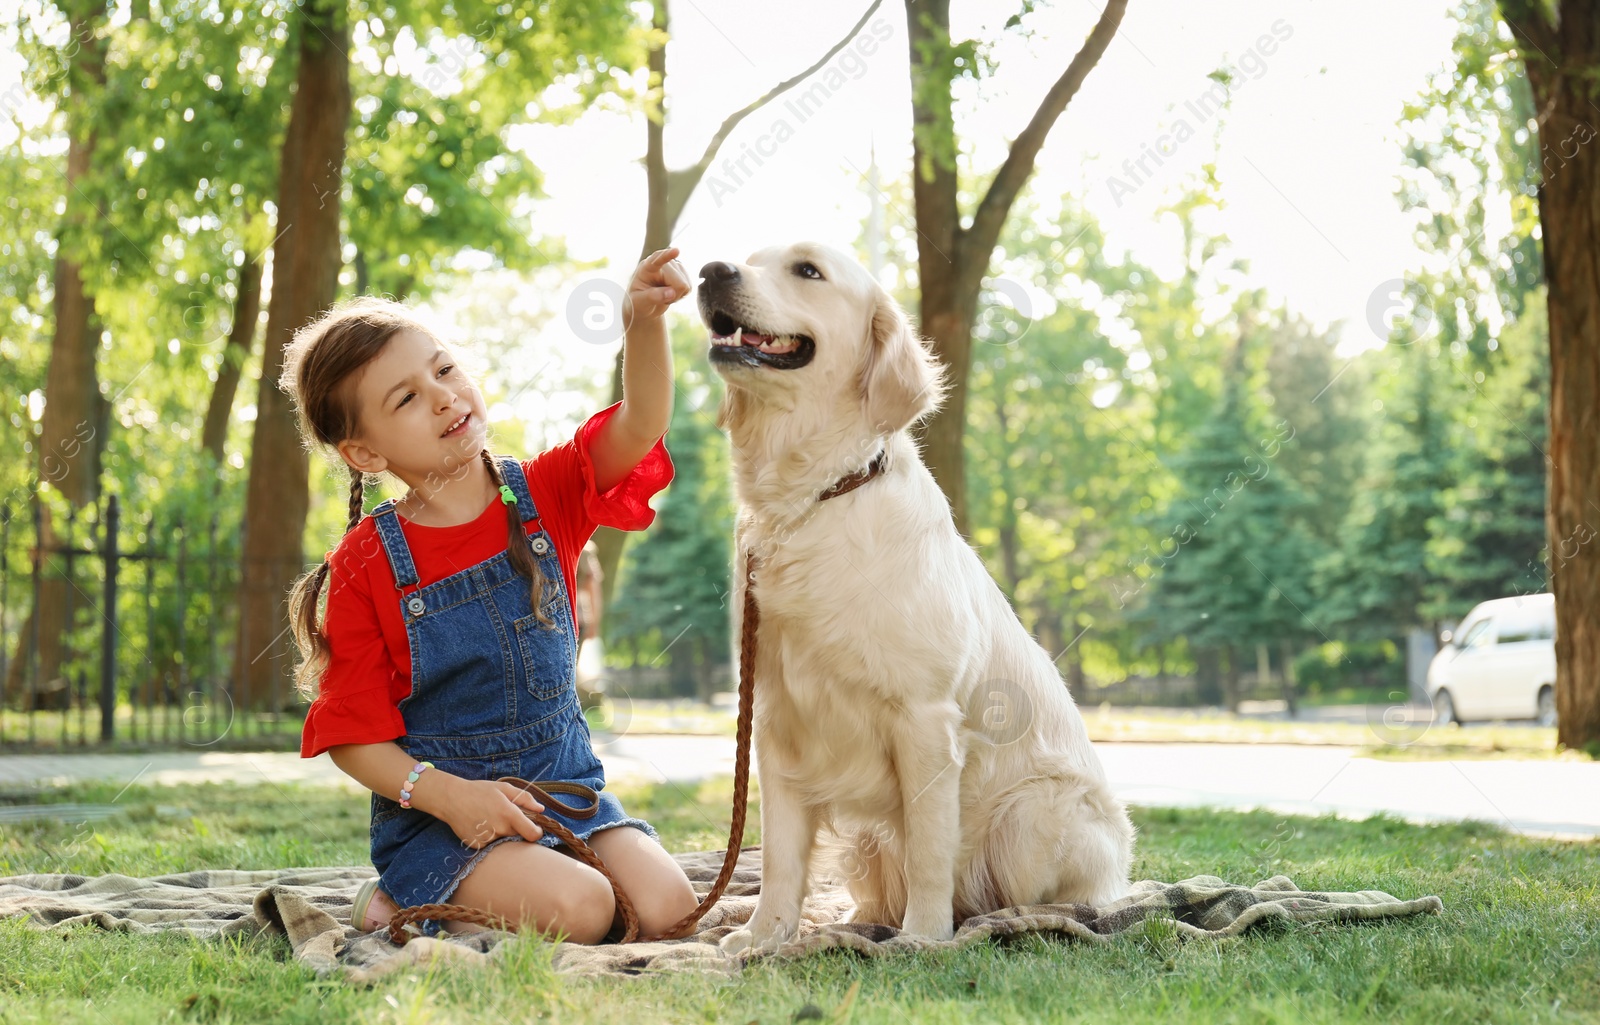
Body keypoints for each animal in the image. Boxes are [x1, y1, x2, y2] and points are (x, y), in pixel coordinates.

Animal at [694, 241, 1132, 953]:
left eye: (808, 270)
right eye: (750, 257)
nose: (710, 272)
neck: (813, 498)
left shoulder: (925, 718)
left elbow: (929, 847)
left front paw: (923, 938)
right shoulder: (775, 717)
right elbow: (781, 852)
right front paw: (764, 936)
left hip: (1032, 816)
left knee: (1046, 896)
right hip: (869, 842)